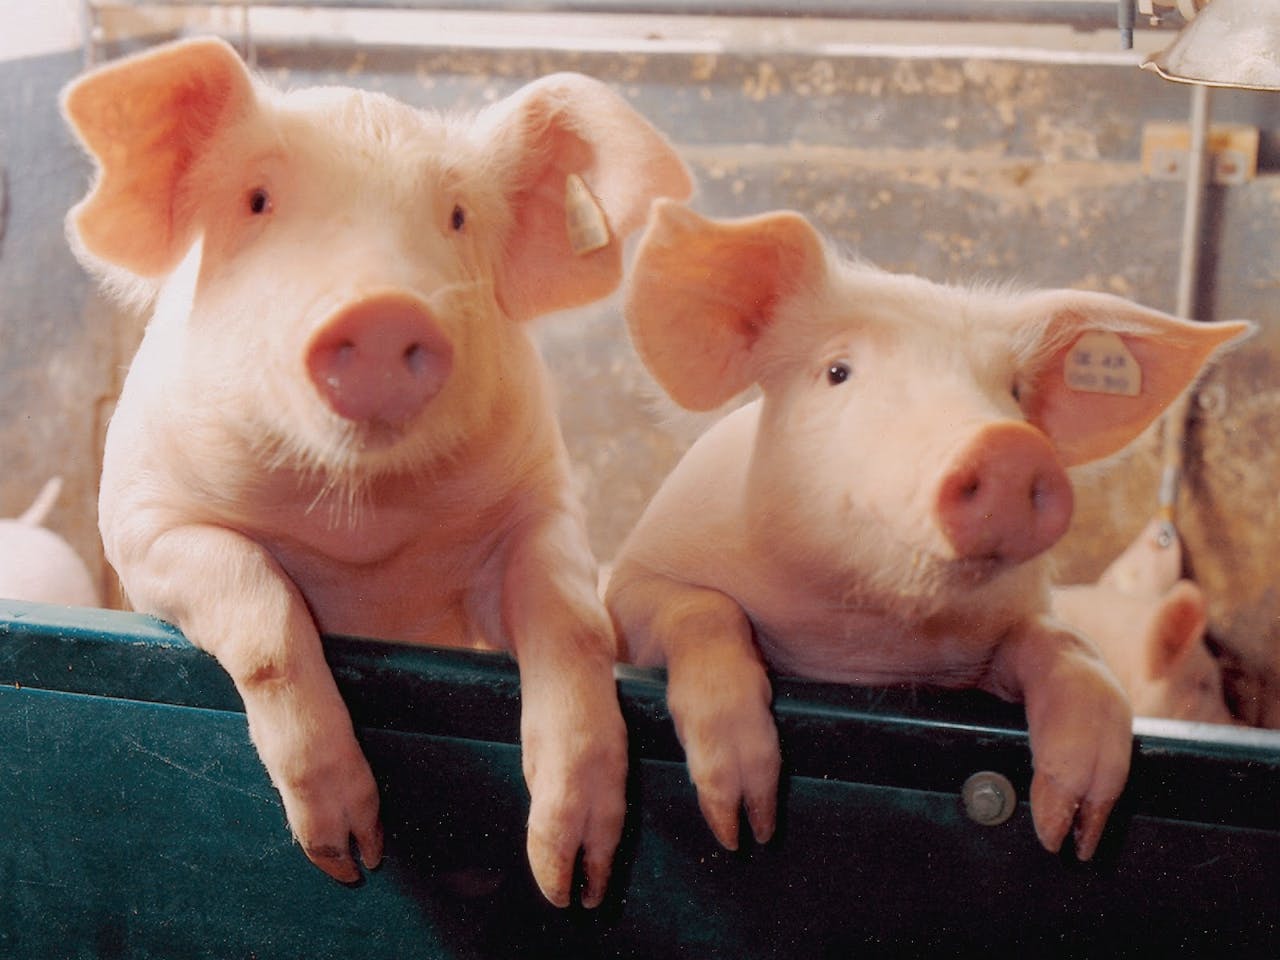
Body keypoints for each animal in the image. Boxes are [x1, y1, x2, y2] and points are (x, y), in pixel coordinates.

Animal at [62, 37, 691, 911]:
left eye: (457, 216)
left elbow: (571, 623)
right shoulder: (140, 522)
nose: (383, 310)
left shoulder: (541, 507)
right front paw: (349, 859)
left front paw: (570, 883)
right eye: (257, 200)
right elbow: (260, 604)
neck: (362, 531)